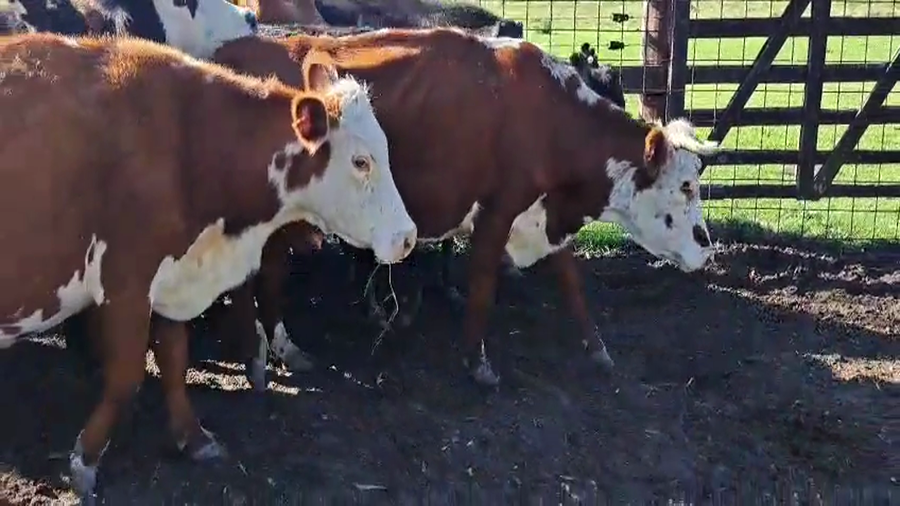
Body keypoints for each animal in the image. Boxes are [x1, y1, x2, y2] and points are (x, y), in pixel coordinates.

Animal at [0, 32, 415, 503]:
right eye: (361, 161)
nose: (408, 236)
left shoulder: (173, 279)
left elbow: (174, 359)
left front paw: (193, 437)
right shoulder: (126, 282)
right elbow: (126, 375)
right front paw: (85, 461)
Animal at [209, 28, 718, 390]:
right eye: (686, 186)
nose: (707, 249)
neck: (548, 117)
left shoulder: (545, 213)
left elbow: (572, 284)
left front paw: (596, 348)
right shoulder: (497, 211)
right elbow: (483, 286)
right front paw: (477, 361)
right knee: (256, 278)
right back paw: (263, 353)